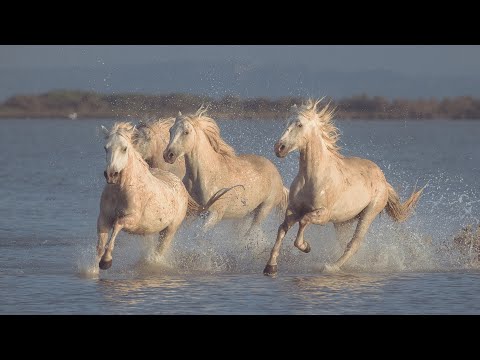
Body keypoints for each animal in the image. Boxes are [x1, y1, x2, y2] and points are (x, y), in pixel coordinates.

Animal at [96, 123, 189, 270]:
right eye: (106, 148)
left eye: (124, 148)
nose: (111, 175)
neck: (122, 190)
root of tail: (179, 182)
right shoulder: (103, 218)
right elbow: (100, 246)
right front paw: (94, 269)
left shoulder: (131, 220)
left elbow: (117, 225)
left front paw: (106, 261)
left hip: (169, 230)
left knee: (160, 251)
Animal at [262, 100, 424, 274]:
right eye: (285, 123)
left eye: (299, 124)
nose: (279, 148)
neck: (312, 177)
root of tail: (383, 181)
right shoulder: (293, 210)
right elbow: (282, 229)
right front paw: (270, 266)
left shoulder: (323, 214)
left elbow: (304, 221)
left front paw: (306, 247)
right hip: (343, 222)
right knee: (344, 242)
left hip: (369, 212)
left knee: (354, 243)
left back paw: (331, 266)